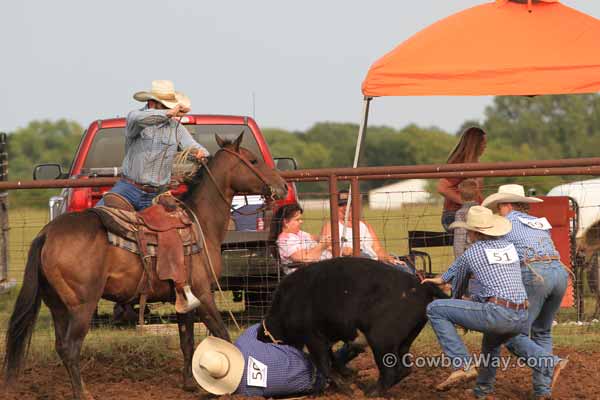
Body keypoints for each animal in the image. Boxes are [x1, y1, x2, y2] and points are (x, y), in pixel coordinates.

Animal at [2, 135, 288, 400]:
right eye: (253, 160)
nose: (283, 186)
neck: (200, 223)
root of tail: (47, 234)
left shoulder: (184, 298)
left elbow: (187, 341)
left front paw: (190, 384)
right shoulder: (203, 293)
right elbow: (223, 335)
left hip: (58, 306)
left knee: (61, 346)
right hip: (82, 306)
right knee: (71, 347)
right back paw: (83, 393)